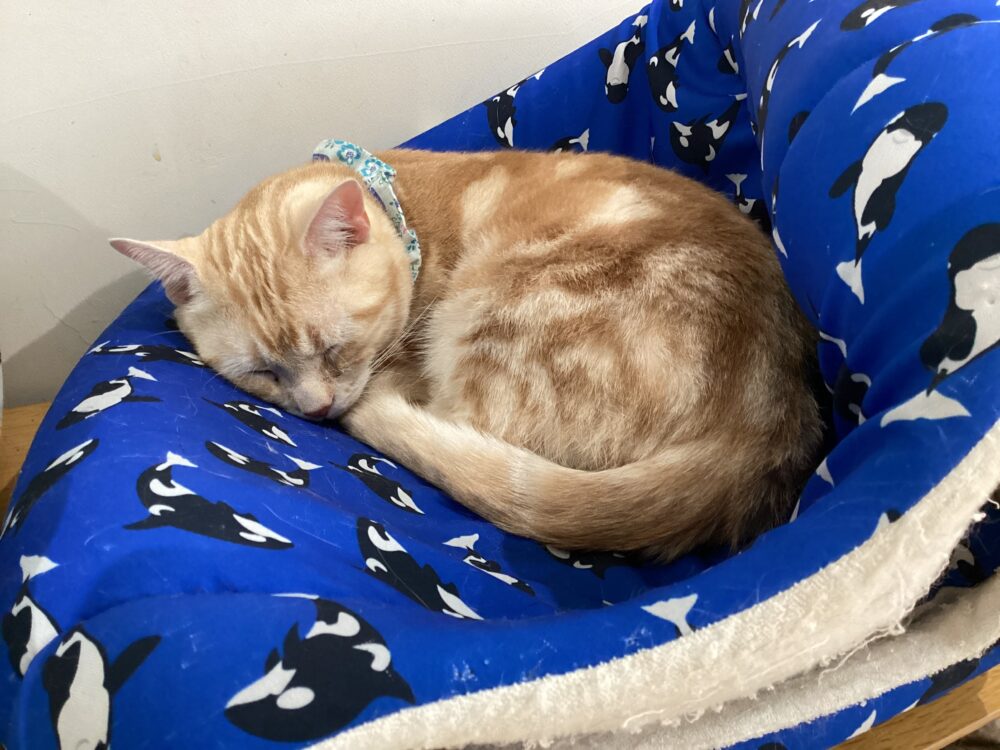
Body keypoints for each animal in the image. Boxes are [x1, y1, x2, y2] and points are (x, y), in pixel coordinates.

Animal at [110, 147, 821, 561]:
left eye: (337, 348)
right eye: (261, 372)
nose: (314, 411)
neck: (402, 213)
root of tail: (759, 427)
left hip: (502, 316)